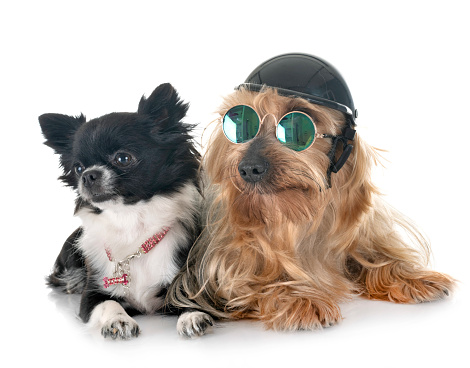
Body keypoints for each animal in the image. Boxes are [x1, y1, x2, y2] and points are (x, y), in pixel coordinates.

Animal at [38, 82, 204, 340]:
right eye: (78, 168)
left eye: (123, 158)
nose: (88, 175)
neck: (131, 223)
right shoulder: (92, 294)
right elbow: (109, 303)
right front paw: (118, 321)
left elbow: (187, 296)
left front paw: (192, 316)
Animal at [171, 87, 458, 336]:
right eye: (240, 121)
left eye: (297, 123)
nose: (249, 168)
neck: (298, 210)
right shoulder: (223, 264)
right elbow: (252, 282)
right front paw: (299, 298)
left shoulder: (359, 232)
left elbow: (377, 258)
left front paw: (414, 277)